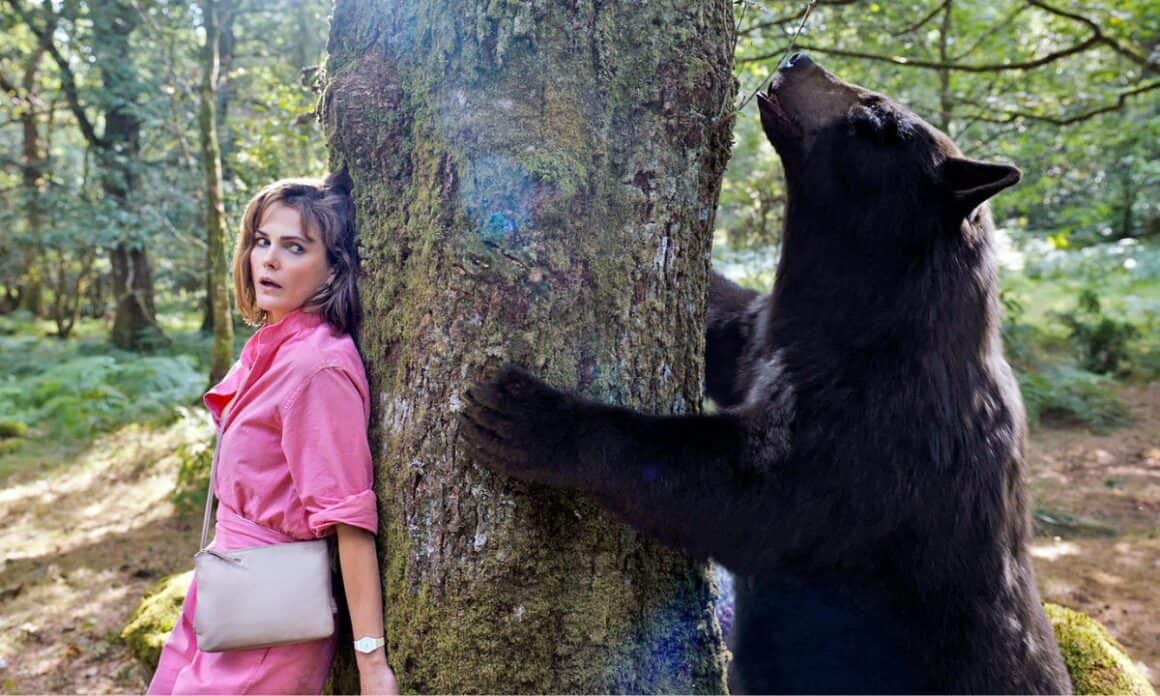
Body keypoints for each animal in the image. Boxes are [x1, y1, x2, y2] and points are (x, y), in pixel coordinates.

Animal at [458, 53, 1071, 694]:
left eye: (876, 120)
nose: (799, 58)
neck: (868, 322)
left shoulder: (882, 433)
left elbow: (748, 496)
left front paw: (530, 417)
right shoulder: (769, 338)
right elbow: (729, 326)